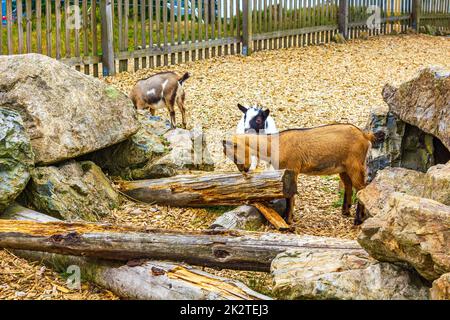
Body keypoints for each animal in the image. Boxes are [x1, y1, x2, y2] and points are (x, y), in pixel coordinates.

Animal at [223, 122, 384, 225]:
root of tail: (365, 135)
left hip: (354, 165)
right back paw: (345, 212)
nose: (244, 169)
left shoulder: (292, 169)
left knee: (361, 188)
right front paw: (290, 217)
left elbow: (290, 196)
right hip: (343, 168)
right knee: (349, 186)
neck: (275, 145)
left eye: (234, 154)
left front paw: (288, 220)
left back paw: (358, 220)